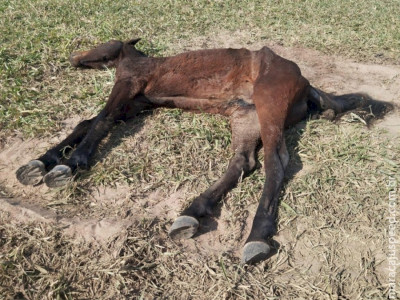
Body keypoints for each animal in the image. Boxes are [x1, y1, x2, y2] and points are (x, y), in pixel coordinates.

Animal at [14, 38, 390, 264]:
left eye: (103, 44)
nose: (73, 58)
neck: (141, 61)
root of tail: (307, 84)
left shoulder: (129, 85)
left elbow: (100, 121)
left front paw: (70, 165)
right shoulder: (136, 104)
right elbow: (86, 123)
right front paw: (39, 163)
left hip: (269, 103)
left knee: (277, 163)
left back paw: (256, 236)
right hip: (245, 116)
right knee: (244, 162)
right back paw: (193, 212)